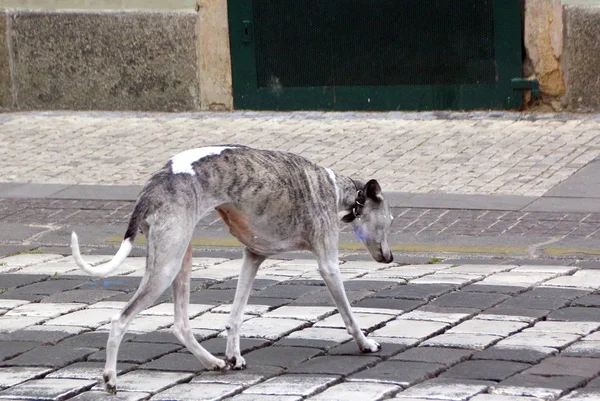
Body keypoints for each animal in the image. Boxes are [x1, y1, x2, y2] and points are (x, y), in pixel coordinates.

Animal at [70, 145, 394, 392]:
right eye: (390, 220)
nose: (390, 258)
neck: (337, 190)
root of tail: (156, 181)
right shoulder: (328, 265)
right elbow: (348, 314)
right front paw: (365, 343)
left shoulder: (253, 256)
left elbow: (235, 315)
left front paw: (234, 356)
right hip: (166, 266)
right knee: (119, 319)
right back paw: (110, 378)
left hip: (180, 257)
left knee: (181, 324)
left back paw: (213, 362)